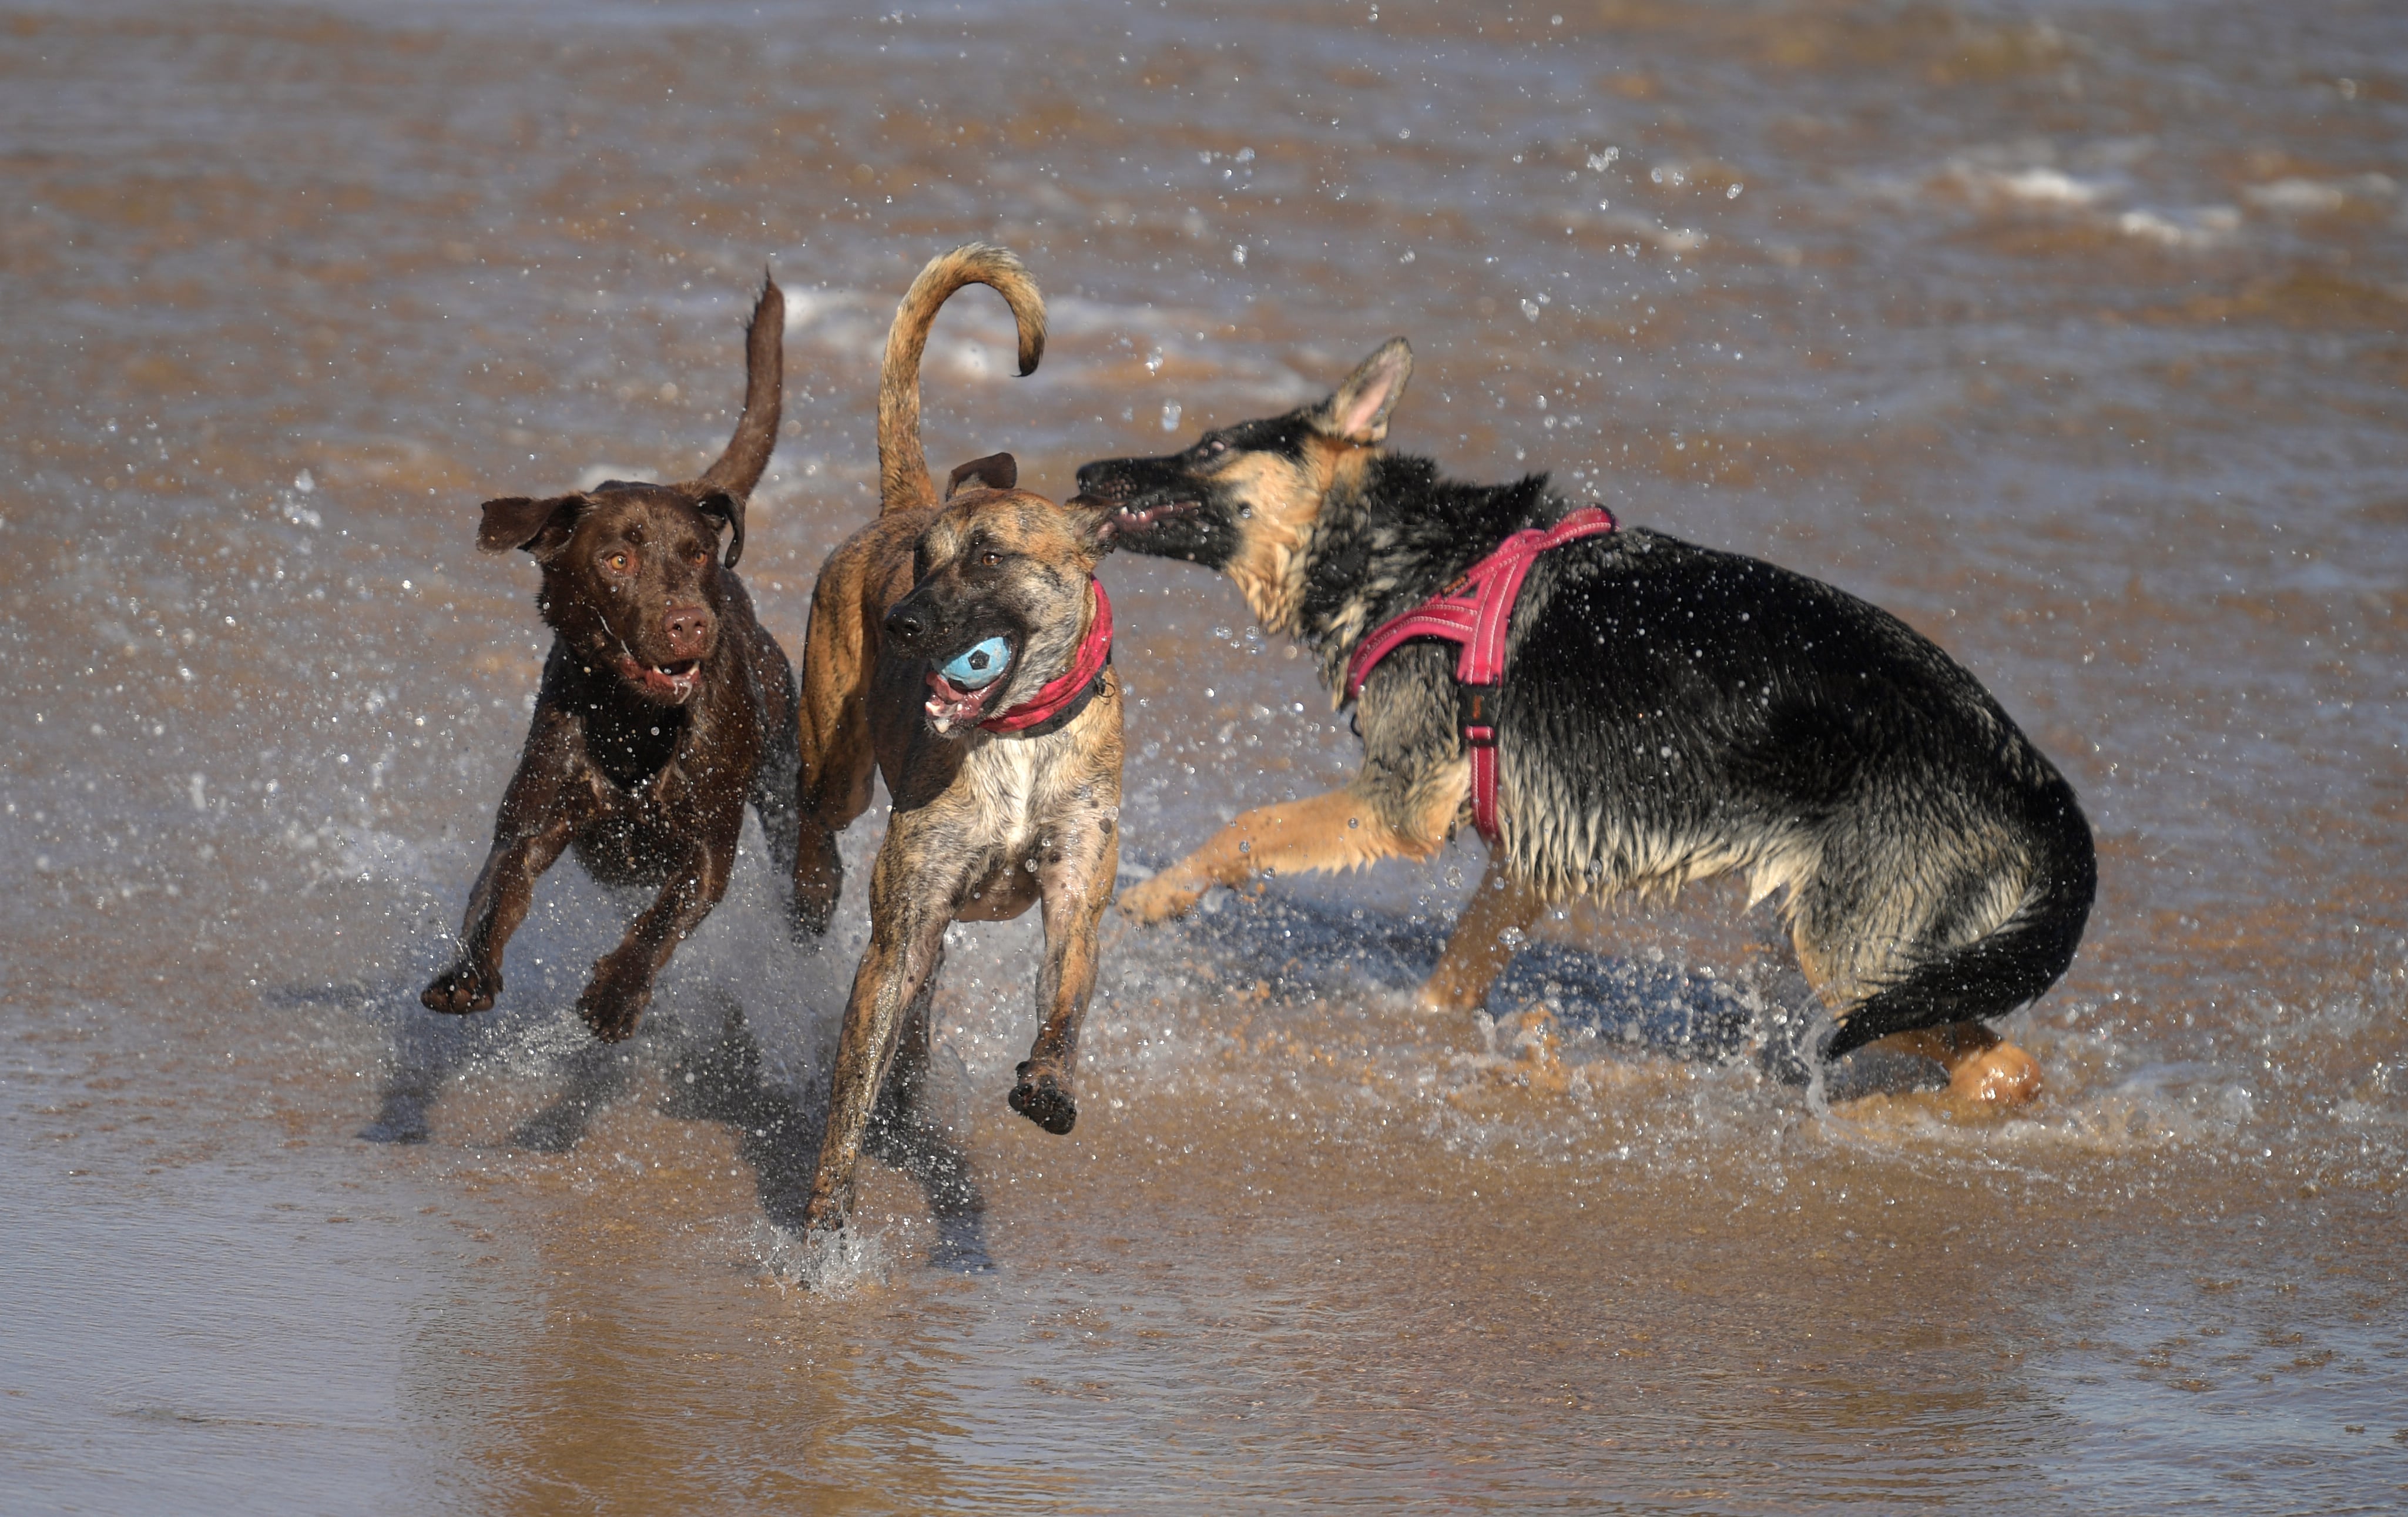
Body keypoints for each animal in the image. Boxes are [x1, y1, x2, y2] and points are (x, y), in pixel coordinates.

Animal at [794, 240, 1122, 1233]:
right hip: (840, 762)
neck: (1013, 736)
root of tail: (898, 501)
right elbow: (849, 1093)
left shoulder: (1075, 889)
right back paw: (811, 886)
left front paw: (1049, 1083)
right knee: (813, 811)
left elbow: (1065, 996)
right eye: (923, 562)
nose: (900, 624)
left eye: (987, 557)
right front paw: (823, 1228)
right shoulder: (898, 931)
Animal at [1074, 341, 2090, 1107]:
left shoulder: (1399, 802)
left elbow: (1248, 827)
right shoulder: (1521, 858)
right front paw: (1420, 1037)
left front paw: (1159, 895)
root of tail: (2043, 792)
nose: (1083, 469)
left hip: (1854, 964)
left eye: (1210, 447)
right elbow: (1453, 978)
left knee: (2005, 1069)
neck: (1414, 553)